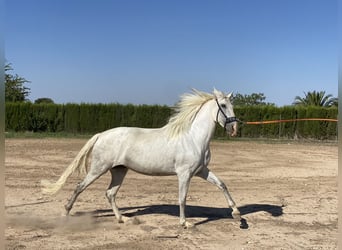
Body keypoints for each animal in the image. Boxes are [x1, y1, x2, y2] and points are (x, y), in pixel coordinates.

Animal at [41, 89, 240, 228]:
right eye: (223, 106)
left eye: (232, 105)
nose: (234, 129)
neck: (193, 138)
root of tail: (101, 135)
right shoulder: (184, 174)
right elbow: (182, 198)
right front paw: (185, 223)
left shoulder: (201, 171)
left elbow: (222, 185)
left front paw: (237, 214)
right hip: (99, 168)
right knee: (80, 187)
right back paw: (65, 213)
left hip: (119, 170)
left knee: (110, 193)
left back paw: (122, 219)